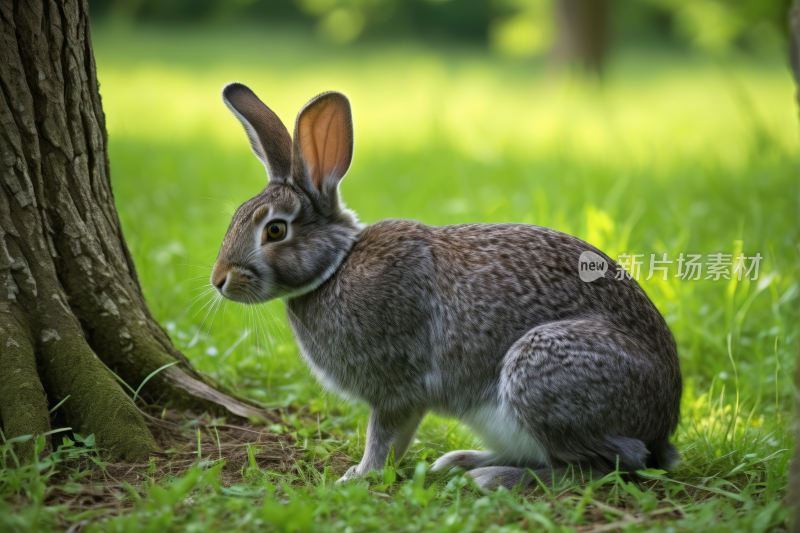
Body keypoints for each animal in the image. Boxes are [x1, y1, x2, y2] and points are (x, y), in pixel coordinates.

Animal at [211, 83, 680, 490]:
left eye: (275, 230)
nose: (219, 281)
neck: (338, 264)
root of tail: (663, 421)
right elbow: (395, 441)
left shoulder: (395, 389)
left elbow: (383, 437)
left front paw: (358, 476)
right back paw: (459, 461)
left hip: (541, 371)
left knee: (610, 462)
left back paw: (492, 477)